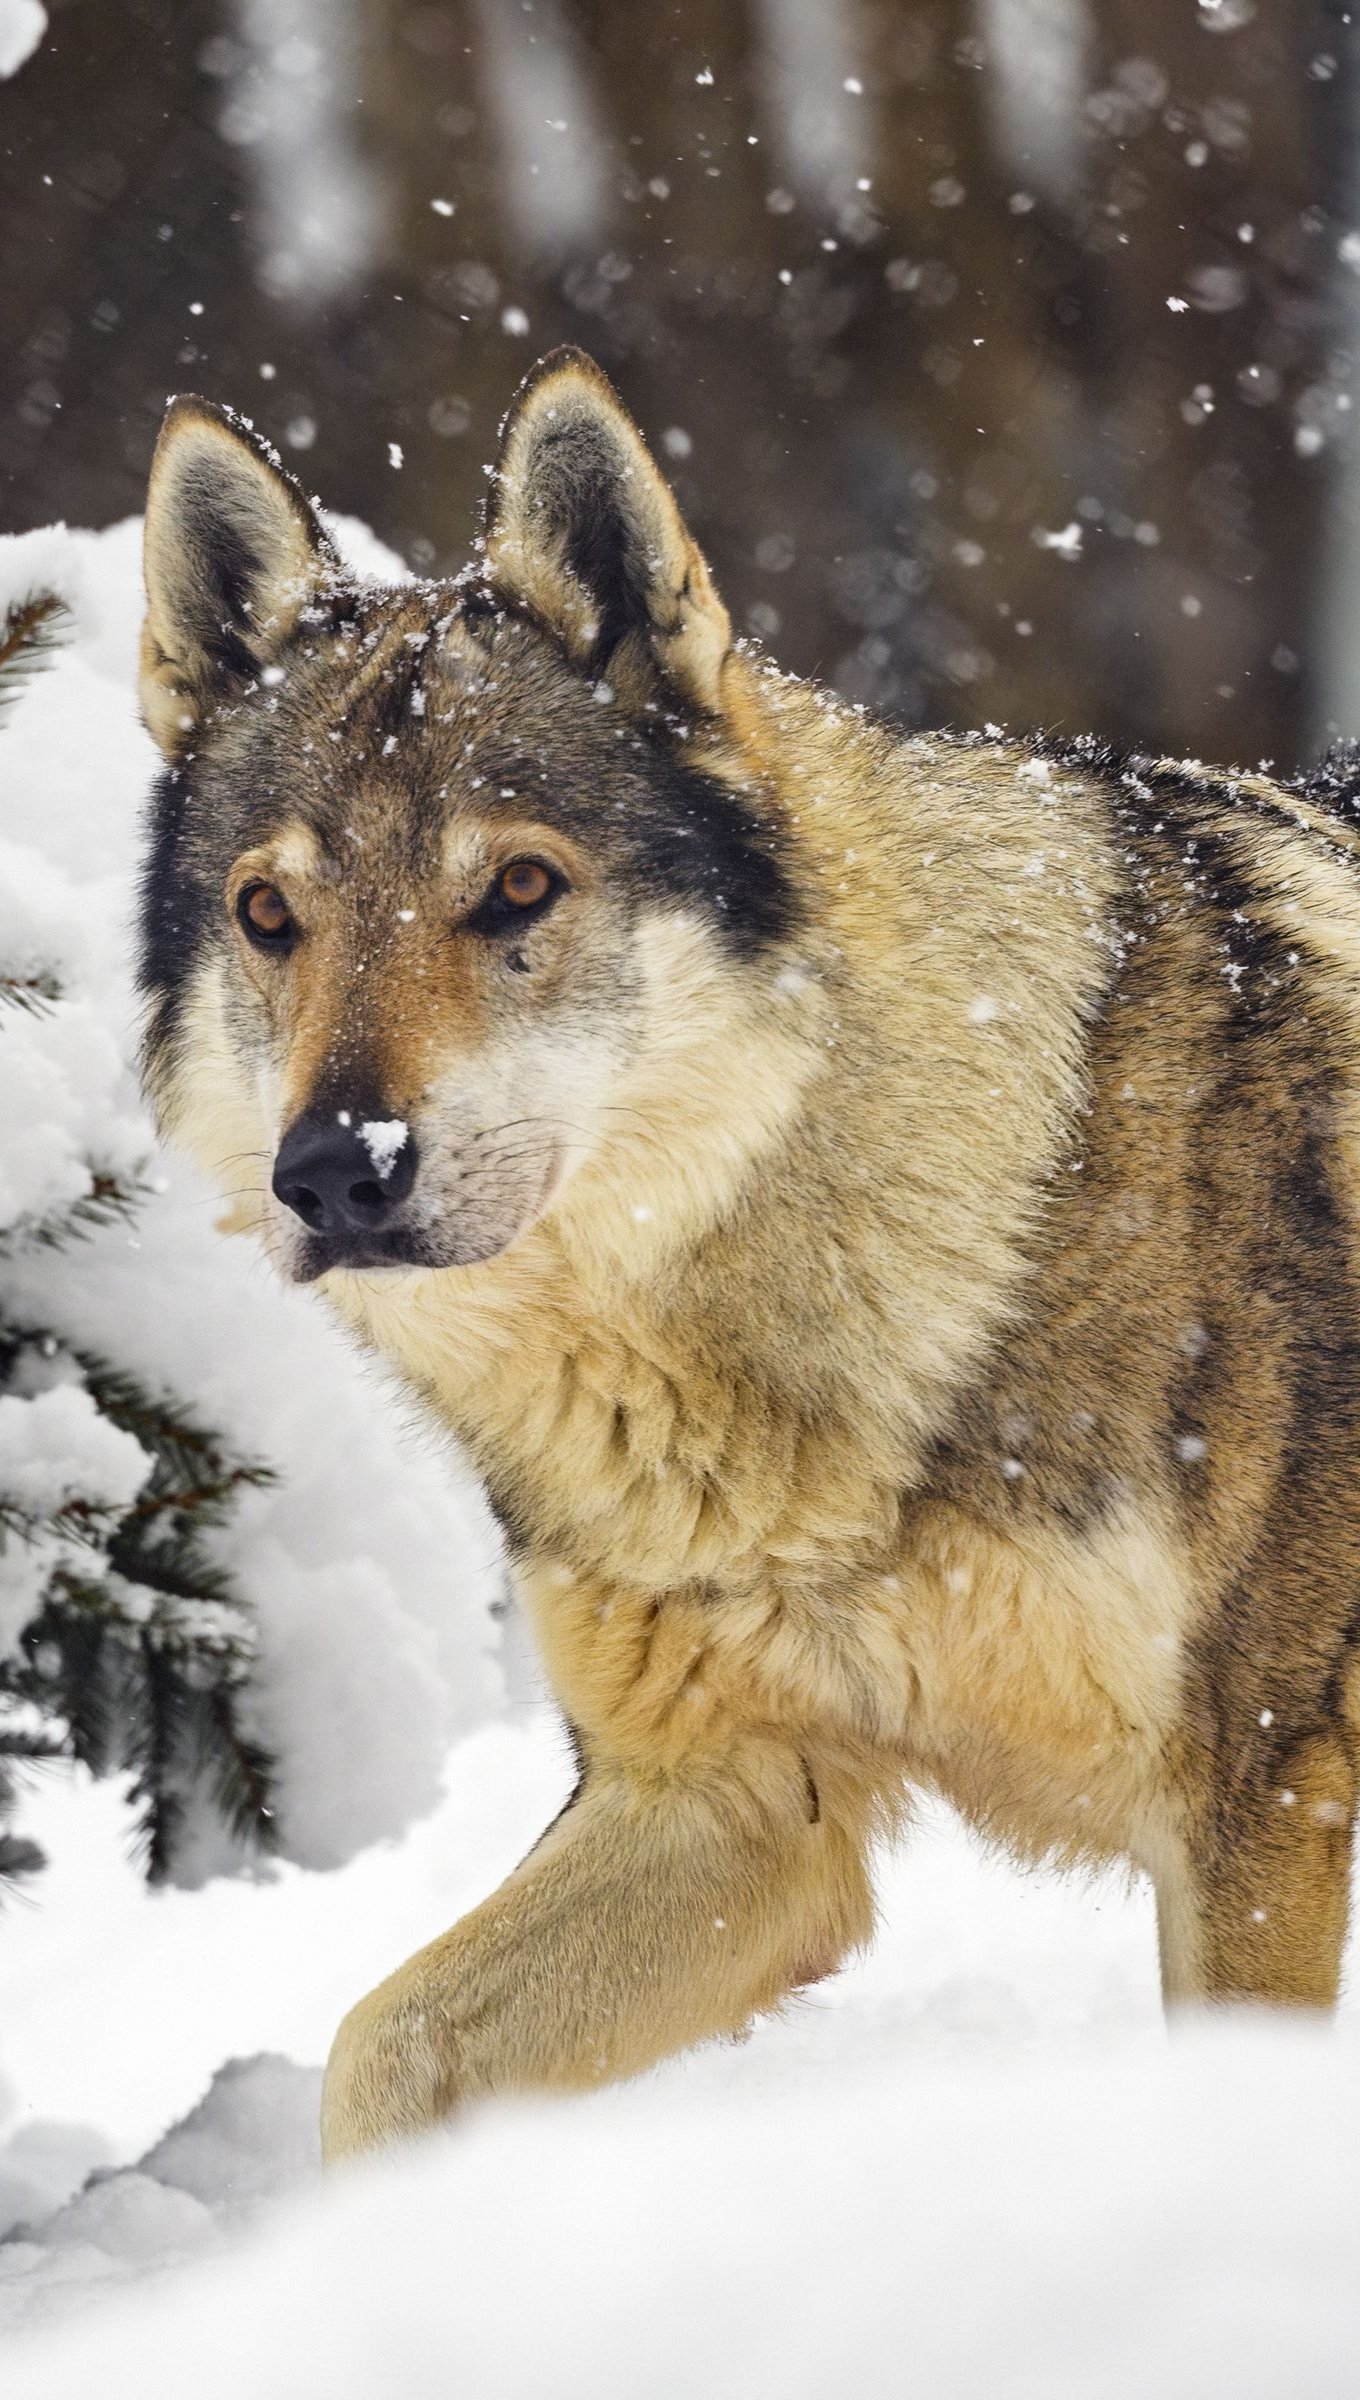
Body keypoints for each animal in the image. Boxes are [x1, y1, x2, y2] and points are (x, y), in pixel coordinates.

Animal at [136, 347, 1360, 2159]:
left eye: (519, 889)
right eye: (268, 918)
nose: (337, 1174)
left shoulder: (1259, 1800)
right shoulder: (728, 1808)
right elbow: (379, 2050)